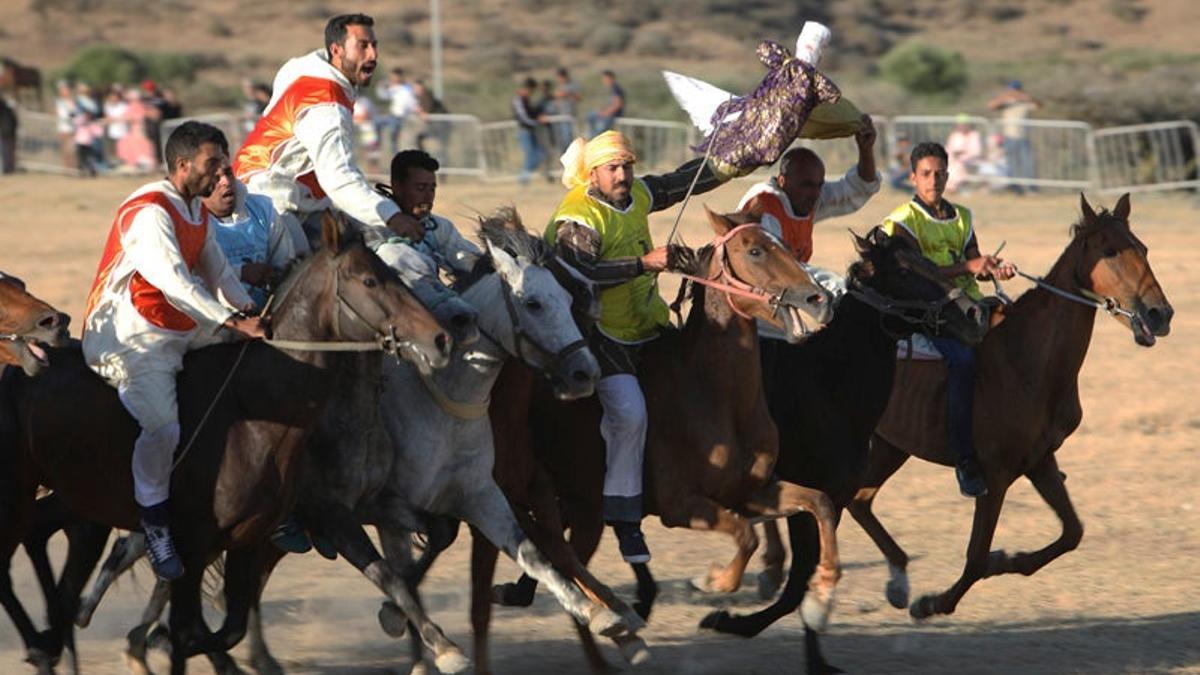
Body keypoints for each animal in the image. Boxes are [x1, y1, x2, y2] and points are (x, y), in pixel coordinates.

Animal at [1, 214, 451, 672]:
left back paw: (58, 637)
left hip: (81, 505)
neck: (256, 411)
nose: (440, 339)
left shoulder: (261, 535)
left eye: (394, 274)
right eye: (369, 280)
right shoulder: (286, 521)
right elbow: (191, 627)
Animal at [472, 207, 849, 667]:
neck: (712, 394)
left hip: (579, 507)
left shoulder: (752, 491)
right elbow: (746, 534)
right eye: (756, 250)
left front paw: (822, 598)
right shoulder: (680, 505)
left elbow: (820, 503)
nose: (819, 300)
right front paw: (711, 580)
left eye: (788, 246)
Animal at [700, 227, 988, 672]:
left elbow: (807, 574)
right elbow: (801, 578)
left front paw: (816, 656)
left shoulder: (833, 497)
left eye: (929, 262)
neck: (828, 384)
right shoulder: (805, 497)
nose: (974, 315)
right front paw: (730, 620)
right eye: (904, 271)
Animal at [844, 192, 1171, 624]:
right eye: (1110, 250)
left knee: (858, 500)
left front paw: (1007, 559)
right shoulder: (994, 474)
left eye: (1143, 248)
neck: (1027, 358)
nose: (1159, 314)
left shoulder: (1040, 461)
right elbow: (976, 556)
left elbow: (1072, 532)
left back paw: (897, 579)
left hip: (890, 445)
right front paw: (933, 602)